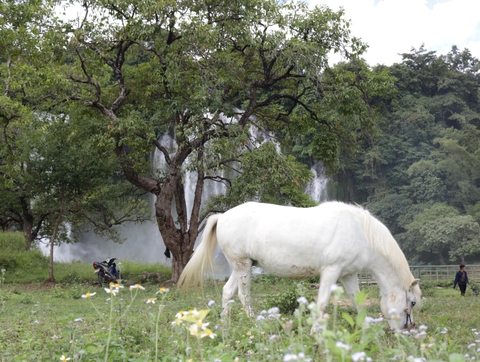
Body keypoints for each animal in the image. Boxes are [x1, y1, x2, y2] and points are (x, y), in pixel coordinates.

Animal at [178, 201, 422, 330]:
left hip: (241, 267)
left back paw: (226, 324)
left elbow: (358, 303)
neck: (359, 232)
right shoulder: (331, 271)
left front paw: (365, 328)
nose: (407, 329)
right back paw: (253, 324)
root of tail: (222, 216)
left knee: (228, 292)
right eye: (411, 302)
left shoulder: (348, 275)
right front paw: (315, 330)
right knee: (243, 296)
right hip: (242, 266)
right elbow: (322, 303)